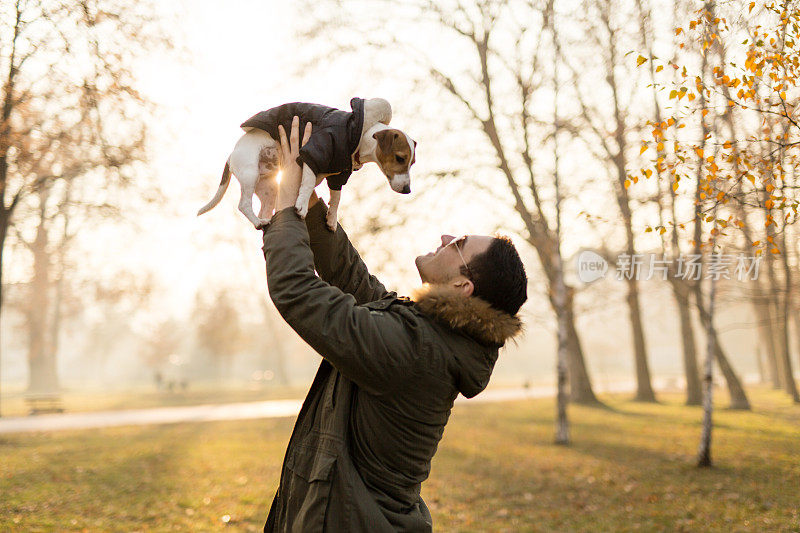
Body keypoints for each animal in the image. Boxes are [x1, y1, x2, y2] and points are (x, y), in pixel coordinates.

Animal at [198, 97, 418, 229]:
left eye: (412, 163)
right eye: (400, 158)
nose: (407, 190)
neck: (359, 135)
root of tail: (231, 155)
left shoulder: (339, 175)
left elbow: (336, 198)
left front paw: (332, 218)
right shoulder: (312, 154)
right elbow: (306, 183)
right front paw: (302, 205)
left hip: (269, 187)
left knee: (264, 208)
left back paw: (264, 221)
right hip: (249, 172)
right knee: (243, 204)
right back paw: (258, 222)